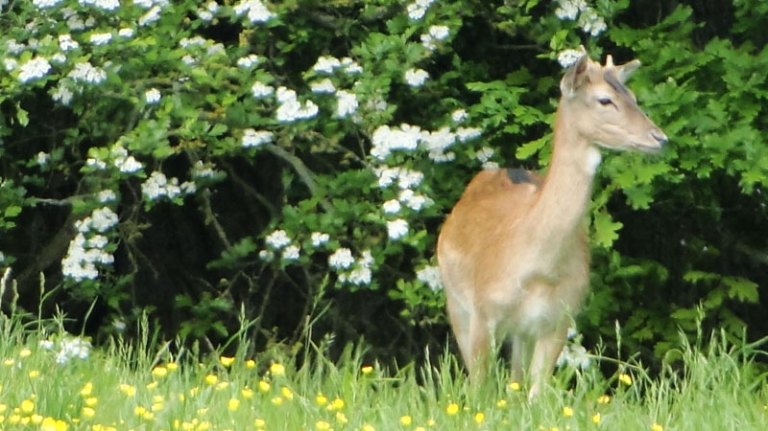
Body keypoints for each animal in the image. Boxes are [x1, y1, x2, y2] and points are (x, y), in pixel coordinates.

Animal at [436, 51, 667, 398]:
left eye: (633, 97)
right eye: (605, 99)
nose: (660, 138)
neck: (538, 265)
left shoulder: (559, 318)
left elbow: (536, 396)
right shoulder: (482, 312)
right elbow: (479, 393)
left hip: (523, 332)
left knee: (515, 378)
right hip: (455, 301)